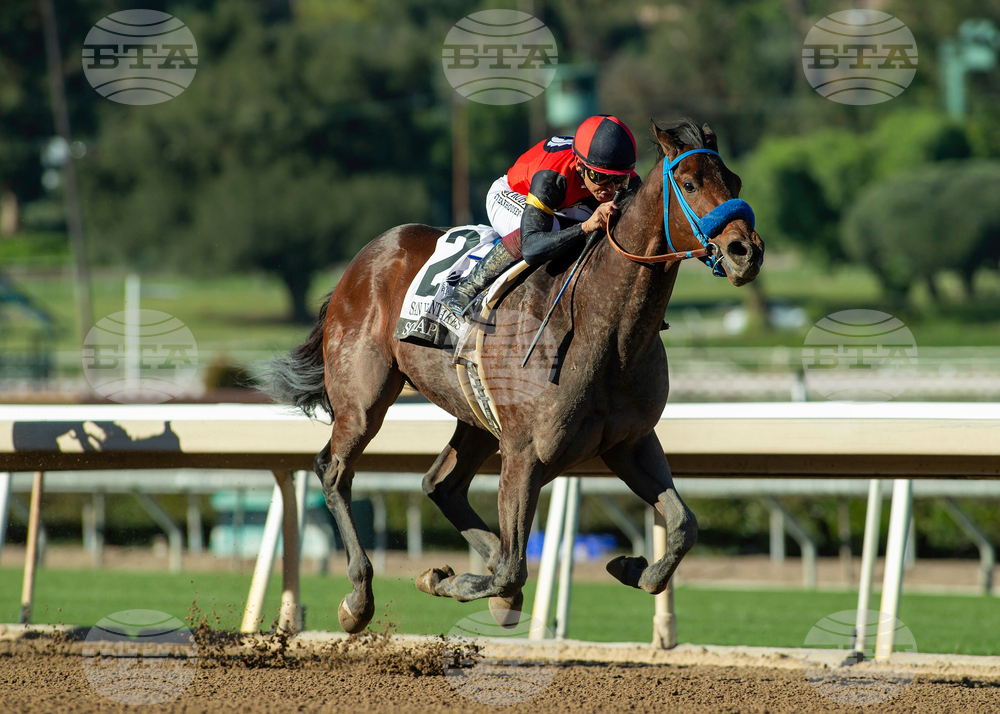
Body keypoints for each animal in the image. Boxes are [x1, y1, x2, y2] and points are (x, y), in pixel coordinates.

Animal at [264, 118, 764, 634]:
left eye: (735, 182)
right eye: (689, 183)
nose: (745, 251)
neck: (603, 327)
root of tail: (363, 259)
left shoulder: (629, 442)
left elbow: (684, 525)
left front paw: (632, 567)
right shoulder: (526, 453)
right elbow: (511, 568)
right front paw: (453, 581)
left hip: (477, 417)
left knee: (441, 484)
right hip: (364, 401)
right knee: (334, 470)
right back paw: (358, 597)